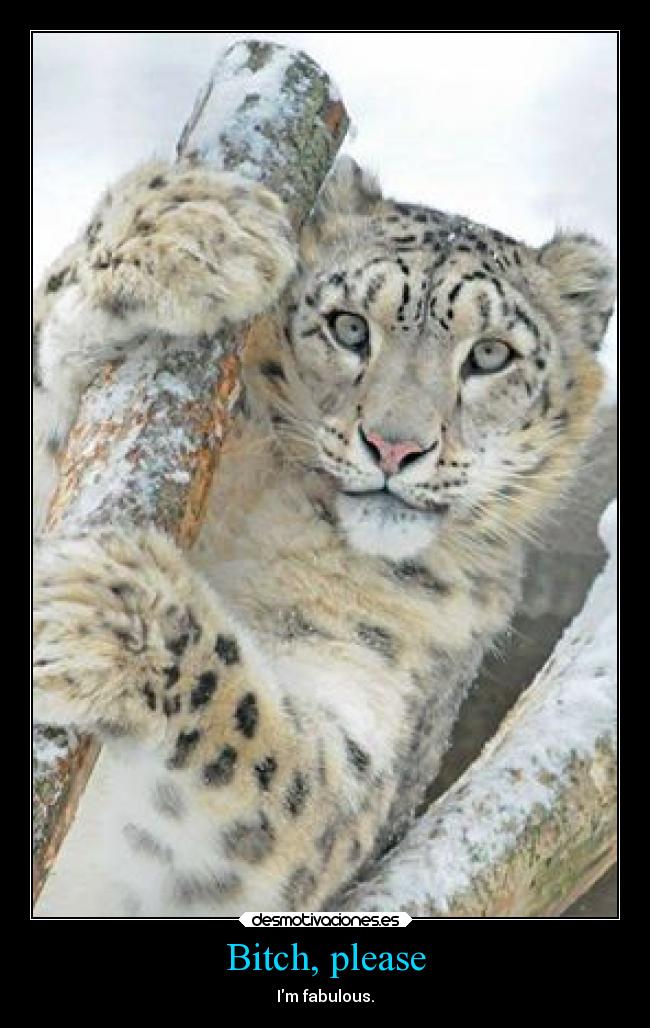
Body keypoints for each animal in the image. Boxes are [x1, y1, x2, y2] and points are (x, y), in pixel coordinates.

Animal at [32, 154, 615, 916]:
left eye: (490, 354)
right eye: (349, 327)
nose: (396, 446)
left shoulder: (357, 759)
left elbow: (271, 751)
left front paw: (111, 615)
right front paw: (188, 229)